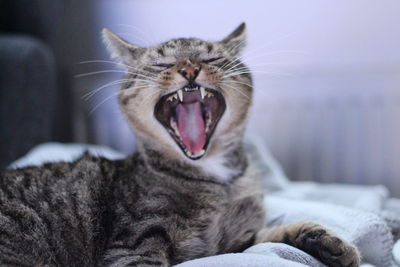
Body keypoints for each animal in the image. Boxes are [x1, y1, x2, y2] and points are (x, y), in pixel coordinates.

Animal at [0, 23, 360, 267]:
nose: (189, 68)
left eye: (211, 58)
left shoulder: (232, 242)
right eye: (161, 64)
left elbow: (273, 236)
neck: (217, 180)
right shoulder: (133, 247)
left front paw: (329, 242)